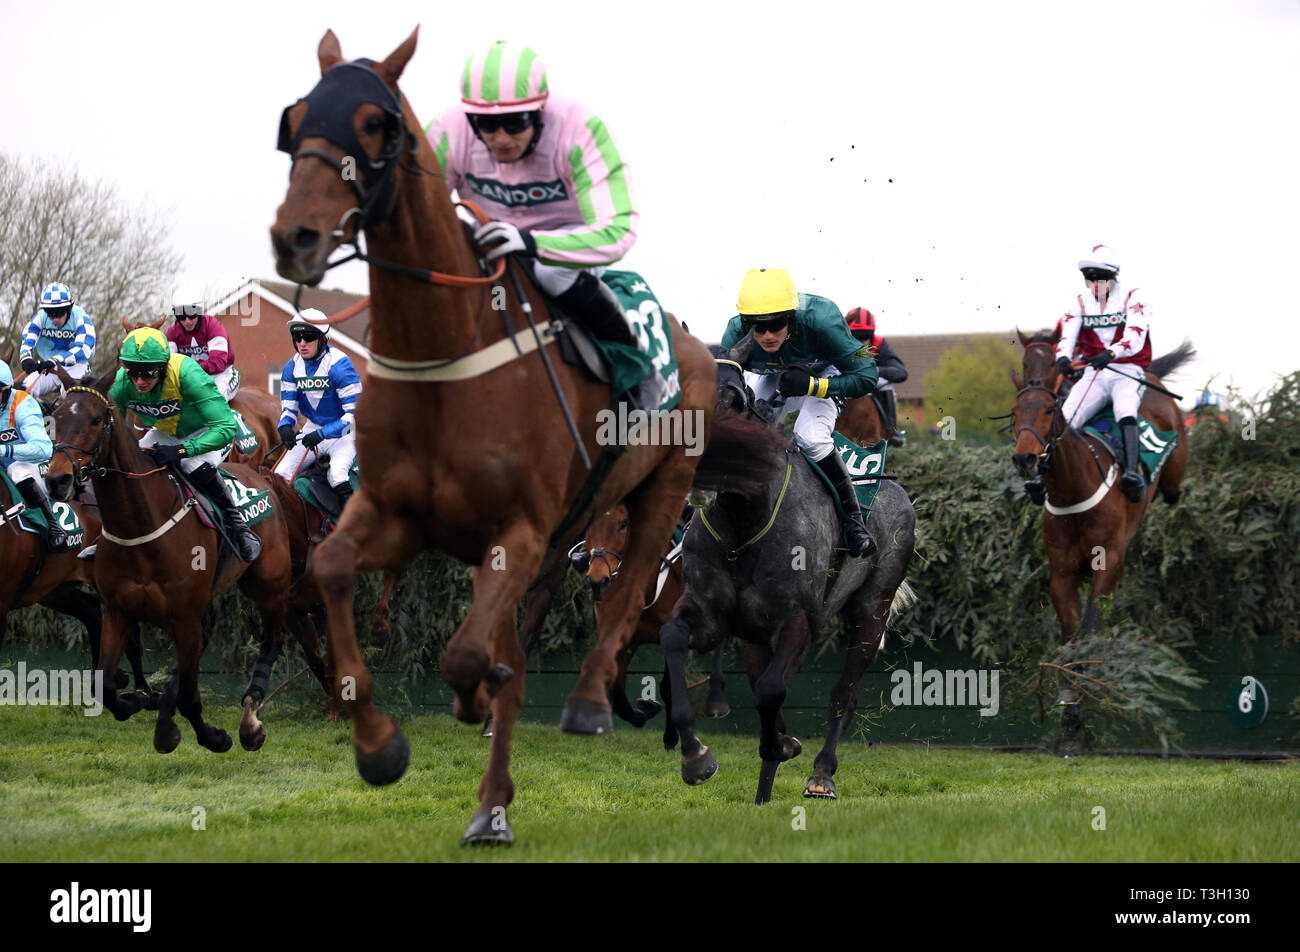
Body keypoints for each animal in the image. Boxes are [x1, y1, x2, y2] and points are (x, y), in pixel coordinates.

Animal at [46, 374, 297, 754]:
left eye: (95, 420)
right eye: (57, 416)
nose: (57, 480)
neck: (140, 526)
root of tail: (260, 472)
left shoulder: (184, 616)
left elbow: (191, 699)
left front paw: (211, 736)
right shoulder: (119, 610)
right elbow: (105, 687)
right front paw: (138, 699)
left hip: (269, 584)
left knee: (272, 639)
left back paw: (250, 720)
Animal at [269, 29, 759, 842]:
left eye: (375, 125)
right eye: (297, 118)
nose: (295, 236)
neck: (447, 355)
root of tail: (689, 343)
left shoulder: (521, 530)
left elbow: (469, 656)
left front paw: (468, 699)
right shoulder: (400, 516)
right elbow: (337, 568)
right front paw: (379, 745)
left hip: (659, 490)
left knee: (626, 599)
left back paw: (615, 715)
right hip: (562, 538)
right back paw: (493, 804)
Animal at [665, 340, 920, 801]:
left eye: (734, 400)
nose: (701, 476)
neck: (743, 526)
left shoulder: (799, 621)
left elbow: (772, 691)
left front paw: (779, 746)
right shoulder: (709, 613)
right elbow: (673, 639)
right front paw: (696, 757)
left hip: (872, 610)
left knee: (843, 695)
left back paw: (821, 775)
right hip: (756, 635)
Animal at [1008, 330, 1190, 754]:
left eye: (1048, 411)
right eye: (1015, 412)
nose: (1025, 459)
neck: (1075, 488)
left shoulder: (1108, 564)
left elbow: (1090, 631)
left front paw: (1085, 707)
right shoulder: (1061, 573)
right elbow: (1069, 636)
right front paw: (1069, 712)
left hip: (1174, 461)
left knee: (1173, 487)